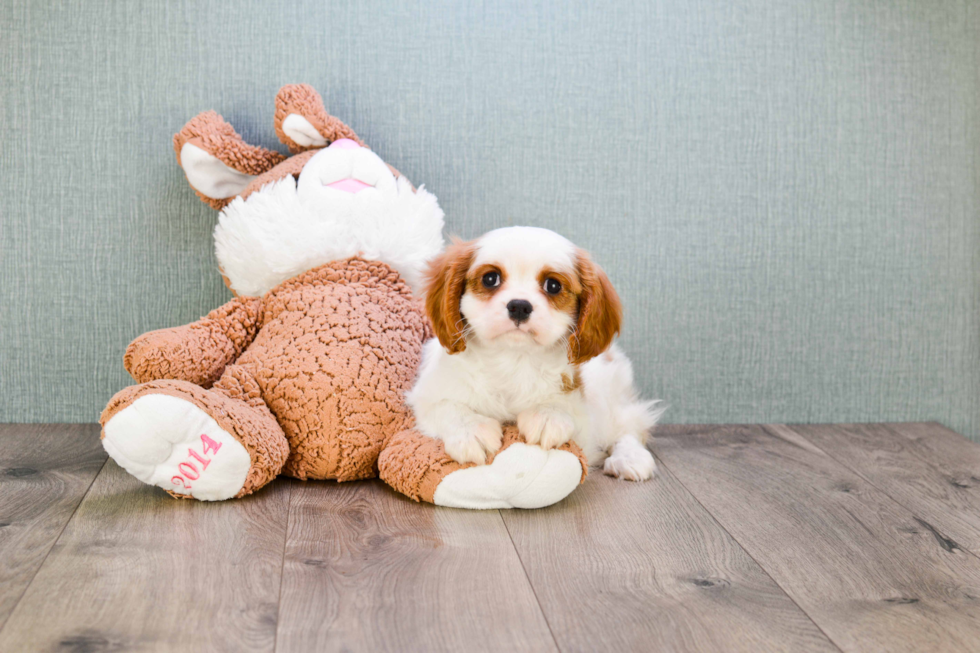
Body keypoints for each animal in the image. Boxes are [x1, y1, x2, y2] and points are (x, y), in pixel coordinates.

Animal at [406, 225, 668, 478]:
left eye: (553, 285)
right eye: (490, 279)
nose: (519, 306)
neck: (512, 359)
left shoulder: (582, 408)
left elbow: (567, 407)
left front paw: (547, 415)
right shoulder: (427, 394)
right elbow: (447, 406)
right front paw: (472, 430)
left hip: (612, 396)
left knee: (628, 427)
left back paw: (630, 458)